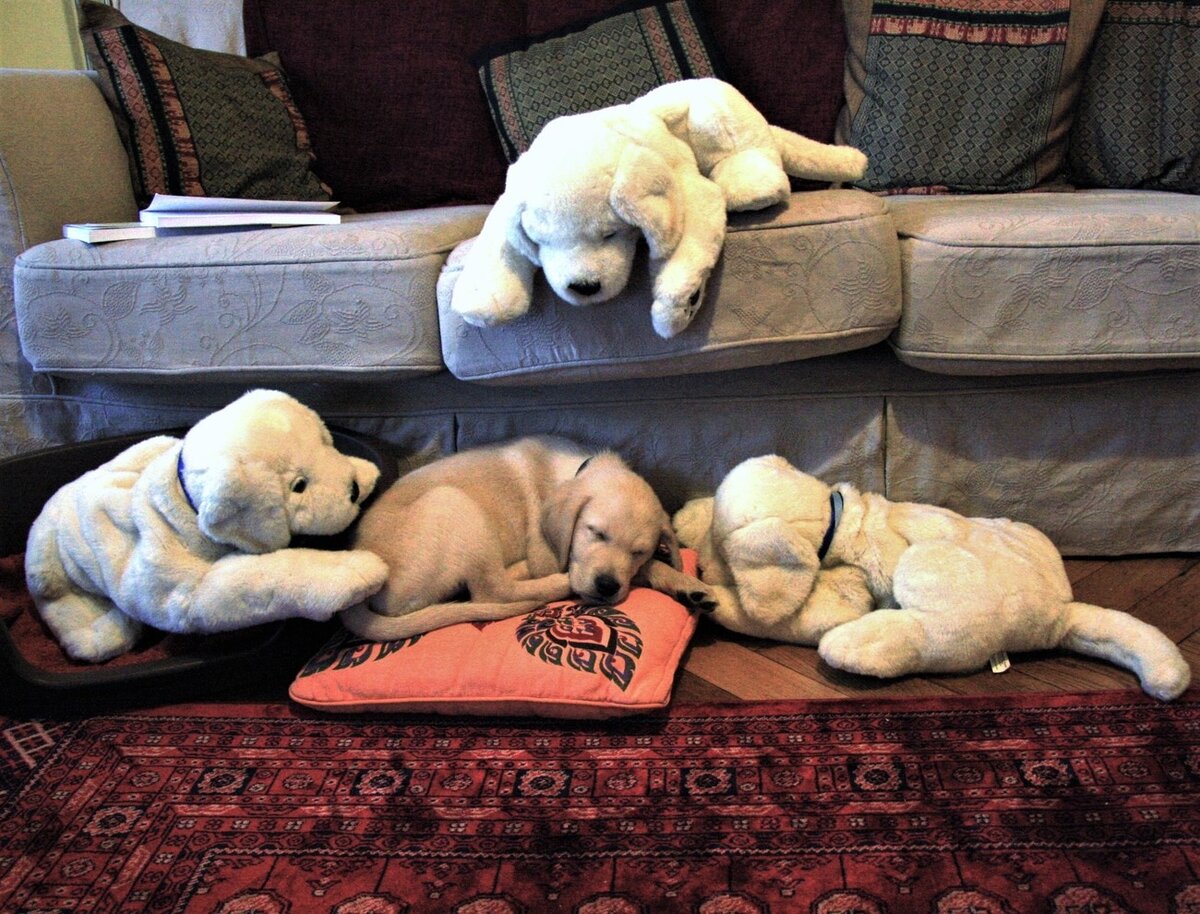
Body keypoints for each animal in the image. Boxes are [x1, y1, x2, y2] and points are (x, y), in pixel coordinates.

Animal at [340, 436, 714, 640]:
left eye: (638, 551)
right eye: (595, 532)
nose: (607, 587)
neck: (576, 469)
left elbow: (649, 567)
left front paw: (686, 583)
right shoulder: (545, 555)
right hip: (454, 502)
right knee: (493, 590)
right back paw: (557, 583)